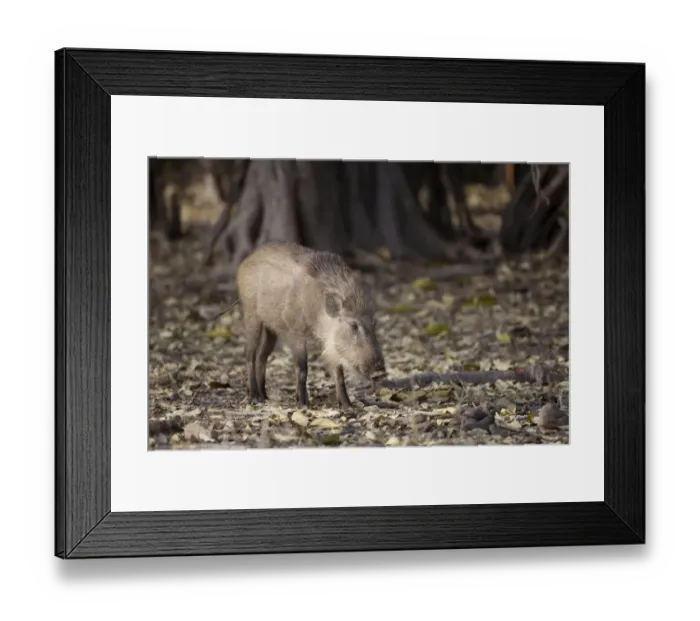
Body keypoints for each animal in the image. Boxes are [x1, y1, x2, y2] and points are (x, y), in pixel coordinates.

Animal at [235, 242, 387, 409]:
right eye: (353, 325)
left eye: (374, 323)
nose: (380, 372)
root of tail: (246, 261)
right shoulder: (296, 332)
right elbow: (302, 368)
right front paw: (302, 404)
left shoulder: (329, 342)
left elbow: (338, 371)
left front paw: (348, 406)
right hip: (251, 315)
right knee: (249, 354)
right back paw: (254, 397)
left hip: (271, 327)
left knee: (262, 355)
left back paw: (264, 396)